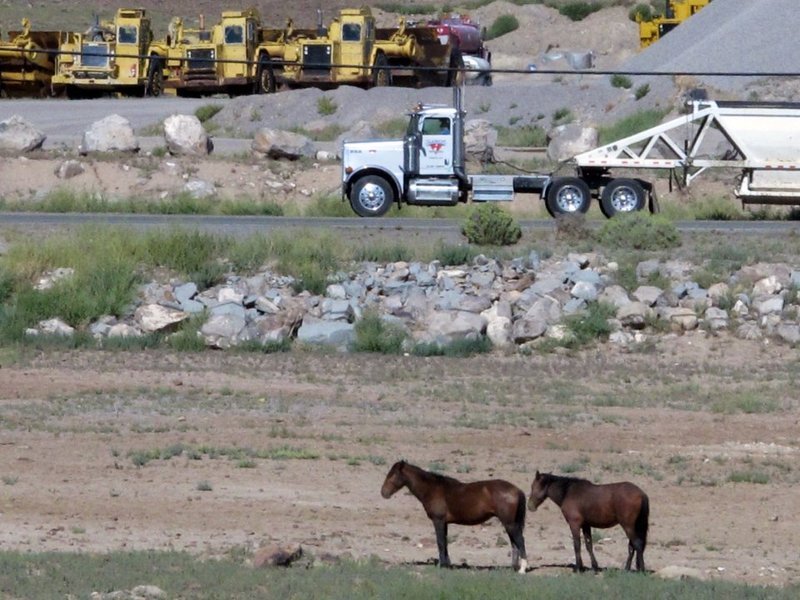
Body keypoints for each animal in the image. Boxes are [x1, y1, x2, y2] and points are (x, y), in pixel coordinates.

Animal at [382, 460, 528, 572]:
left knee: (520, 541)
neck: (433, 489)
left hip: (509, 524)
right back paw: (513, 567)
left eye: (393, 475)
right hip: (509, 524)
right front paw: (448, 564)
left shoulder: (438, 521)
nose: (383, 493)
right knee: (514, 544)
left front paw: (442, 566)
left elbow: (440, 542)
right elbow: (445, 542)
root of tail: (517, 490)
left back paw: (522, 569)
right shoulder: (445, 523)